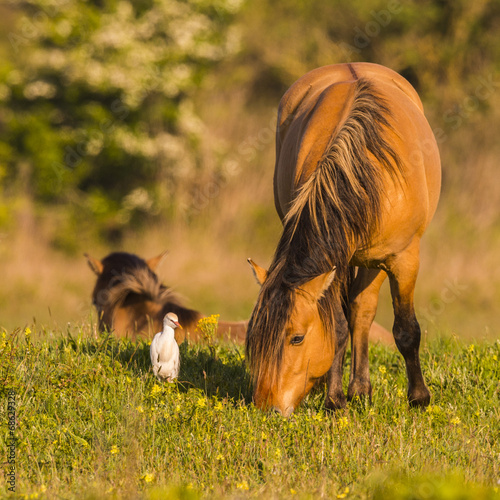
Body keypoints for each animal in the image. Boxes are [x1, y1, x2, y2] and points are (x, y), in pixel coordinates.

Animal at [246, 62, 442, 416]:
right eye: (255, 336)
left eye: (296, 338)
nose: (266, 406)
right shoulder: (338, 261)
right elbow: (337, 326)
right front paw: (335, 399)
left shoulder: (403, 259)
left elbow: (407, 330)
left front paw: (419, 398)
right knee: (356, 314)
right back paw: (358, 390)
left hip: (375, 259)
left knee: (363, 312)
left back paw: (362, 390)